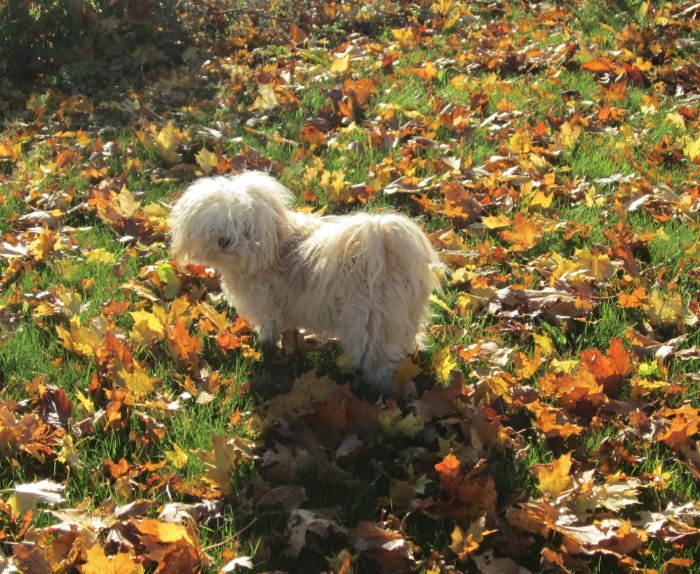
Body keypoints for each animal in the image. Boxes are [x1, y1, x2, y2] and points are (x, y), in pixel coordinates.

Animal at [170, 173, 440, 394]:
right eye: (216, 225)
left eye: (244, 227)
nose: (224, 241)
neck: (275, 246)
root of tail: (386, 246)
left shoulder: (268, 309)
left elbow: (269, 333)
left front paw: (267, 348)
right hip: (404, 317)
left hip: (370, 325)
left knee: (379, 360)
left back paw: (377, 388)